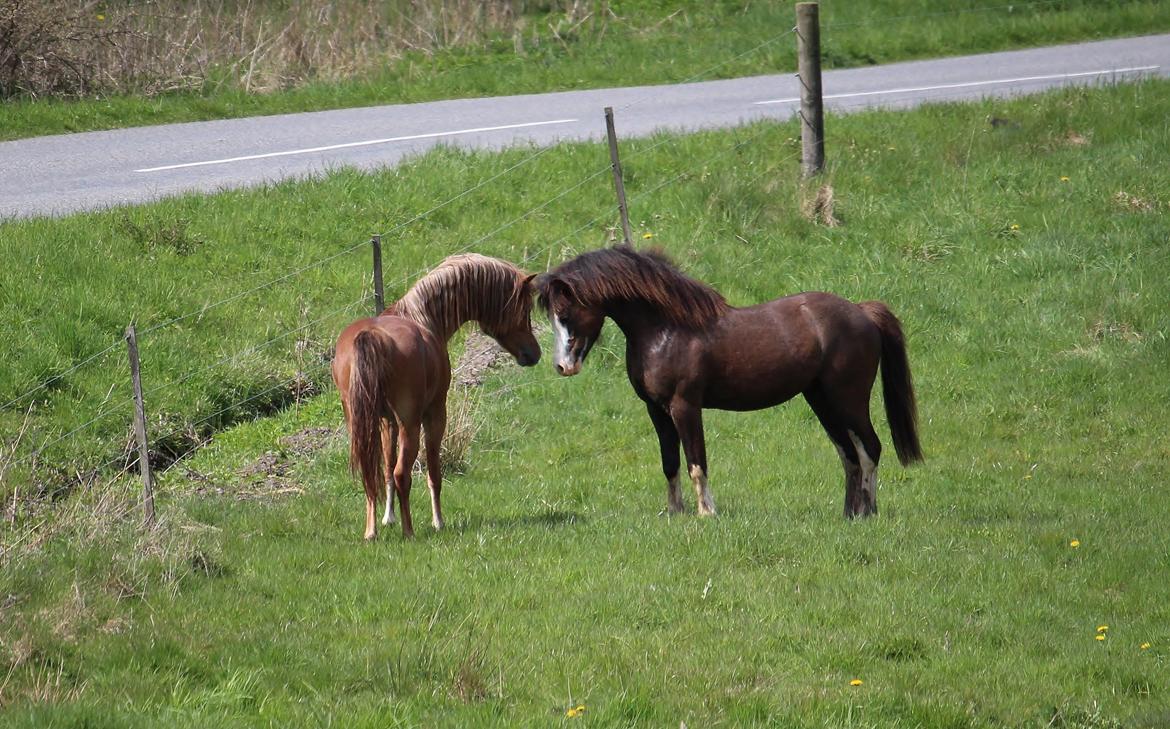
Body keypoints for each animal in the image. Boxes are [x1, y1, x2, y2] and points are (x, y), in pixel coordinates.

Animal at [332, 253, 540, 538]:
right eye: (524, 309)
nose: (534, 354)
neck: (423, 318)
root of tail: (371, 336)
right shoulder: (435, 413)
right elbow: (433, 472)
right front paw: (438, 521)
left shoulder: (386, 421)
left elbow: (386, 469)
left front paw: (388, 518)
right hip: (410, 422)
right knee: (402, 474)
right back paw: (409, 532)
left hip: (360, 421)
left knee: (371, 472)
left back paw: (371, 532)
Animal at [535, 248, 921, 521]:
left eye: (565, 314)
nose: (563, 366)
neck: (665, 329)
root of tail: (862, 311)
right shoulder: (656, 410)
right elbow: (670, 463)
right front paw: (675, 513)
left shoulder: (685, 407)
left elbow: (696, 461)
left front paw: (707, 513)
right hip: (820, 400)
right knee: (849, 454)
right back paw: (848, 514)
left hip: (848, 399)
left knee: (870, 449)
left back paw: (867, 512)